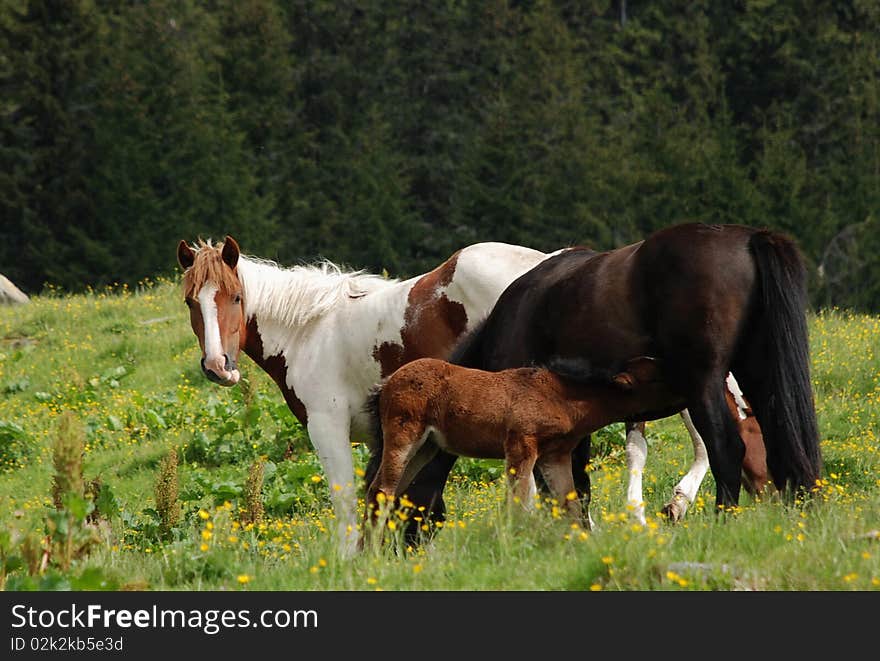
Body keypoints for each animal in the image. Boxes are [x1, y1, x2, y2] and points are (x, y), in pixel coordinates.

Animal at [177, 235, 552, 556]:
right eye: (190, 302)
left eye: (236, 297)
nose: (218, 366)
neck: (308, 332)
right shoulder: (387, 438)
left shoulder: (327, 427)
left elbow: (347, 498)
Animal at [364, 356, 672, 532]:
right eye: (655, 377)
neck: (562, 397)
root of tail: (386, 385)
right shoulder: (520, 445)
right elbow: (520, 503)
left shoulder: (554, 455)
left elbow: (569, 503)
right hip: (404, 435)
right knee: (381, 490)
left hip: (425, 448)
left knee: (387, 491)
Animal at [388, 224, 820, 520]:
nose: (402, 549)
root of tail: (748, 238)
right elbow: (575, 482)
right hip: (758, 373)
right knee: (785, 441)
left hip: (705, 381)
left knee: (725, 448)